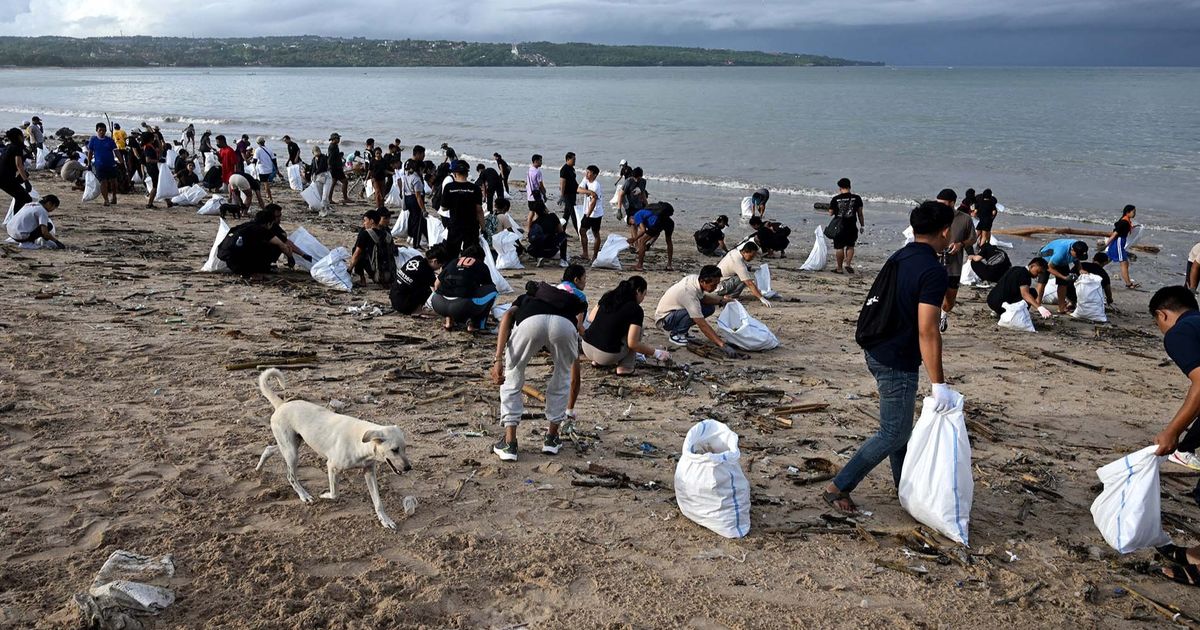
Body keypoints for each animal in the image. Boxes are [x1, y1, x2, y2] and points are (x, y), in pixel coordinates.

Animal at [253, 364, 412, 528]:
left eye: (405, 448)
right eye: (394, 450)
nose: (408, 468)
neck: (361, 442)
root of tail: (281, 405)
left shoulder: (369, 471)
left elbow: (378, 502)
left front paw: (385, 520)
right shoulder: (332, 466)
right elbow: (335, 494)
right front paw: (325, 495)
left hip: (293, 443)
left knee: (269, 449)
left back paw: (259, 468)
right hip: (292, 452)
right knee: (290, 476)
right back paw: (304, 495)